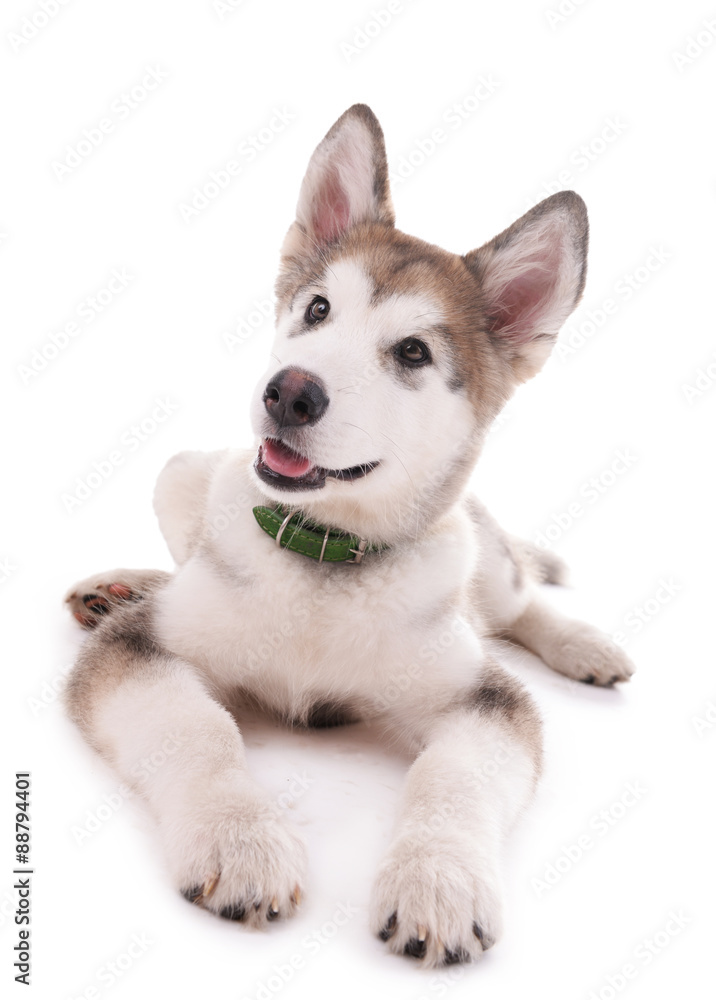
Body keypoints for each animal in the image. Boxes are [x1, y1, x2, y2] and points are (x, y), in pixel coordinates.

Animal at [64, 105, 636, 964]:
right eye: (317, 310)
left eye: (413, 352)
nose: (289, 393)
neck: (324, 561)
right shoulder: (140, 654)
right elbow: (196, 727)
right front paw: (240, 839)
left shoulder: (485, 699)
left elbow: (455, 777)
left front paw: (439, 881)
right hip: (182, 474)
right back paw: (120, 587)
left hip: (483, 557)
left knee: (520, 600)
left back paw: (584, 644)